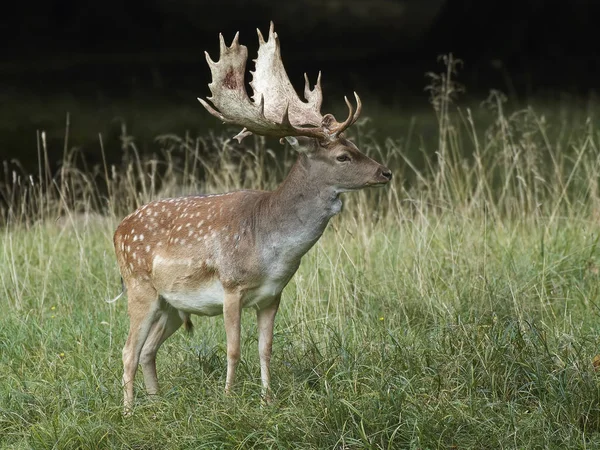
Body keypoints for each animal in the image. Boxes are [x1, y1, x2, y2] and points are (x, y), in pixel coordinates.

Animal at [113, 22, 394, 414]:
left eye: (355, 145)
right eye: (342, 156)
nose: (385, 172)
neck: (272, 248)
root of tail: (118, 230)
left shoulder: (272, 295)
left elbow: (265, 349)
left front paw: (267, 399)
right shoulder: (231, 286)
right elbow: (233, 349)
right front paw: (229, 400)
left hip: (171, 304)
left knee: (148, 350)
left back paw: (157, 405)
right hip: (140, 288)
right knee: (127, 351)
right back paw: (128, 412)